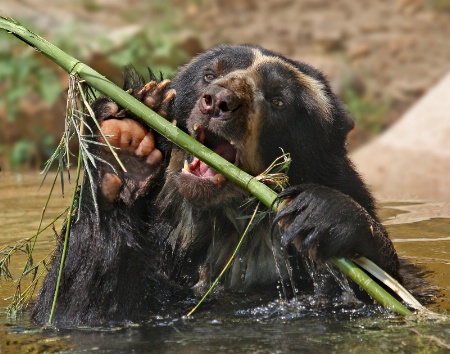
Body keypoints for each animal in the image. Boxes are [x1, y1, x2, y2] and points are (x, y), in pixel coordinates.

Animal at [33, 45, 402, 328]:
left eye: (279, 100)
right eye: (209, 75)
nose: (219, 101)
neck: (225, 224)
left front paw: (318, 212)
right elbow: (78, 307)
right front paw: (126, 142)